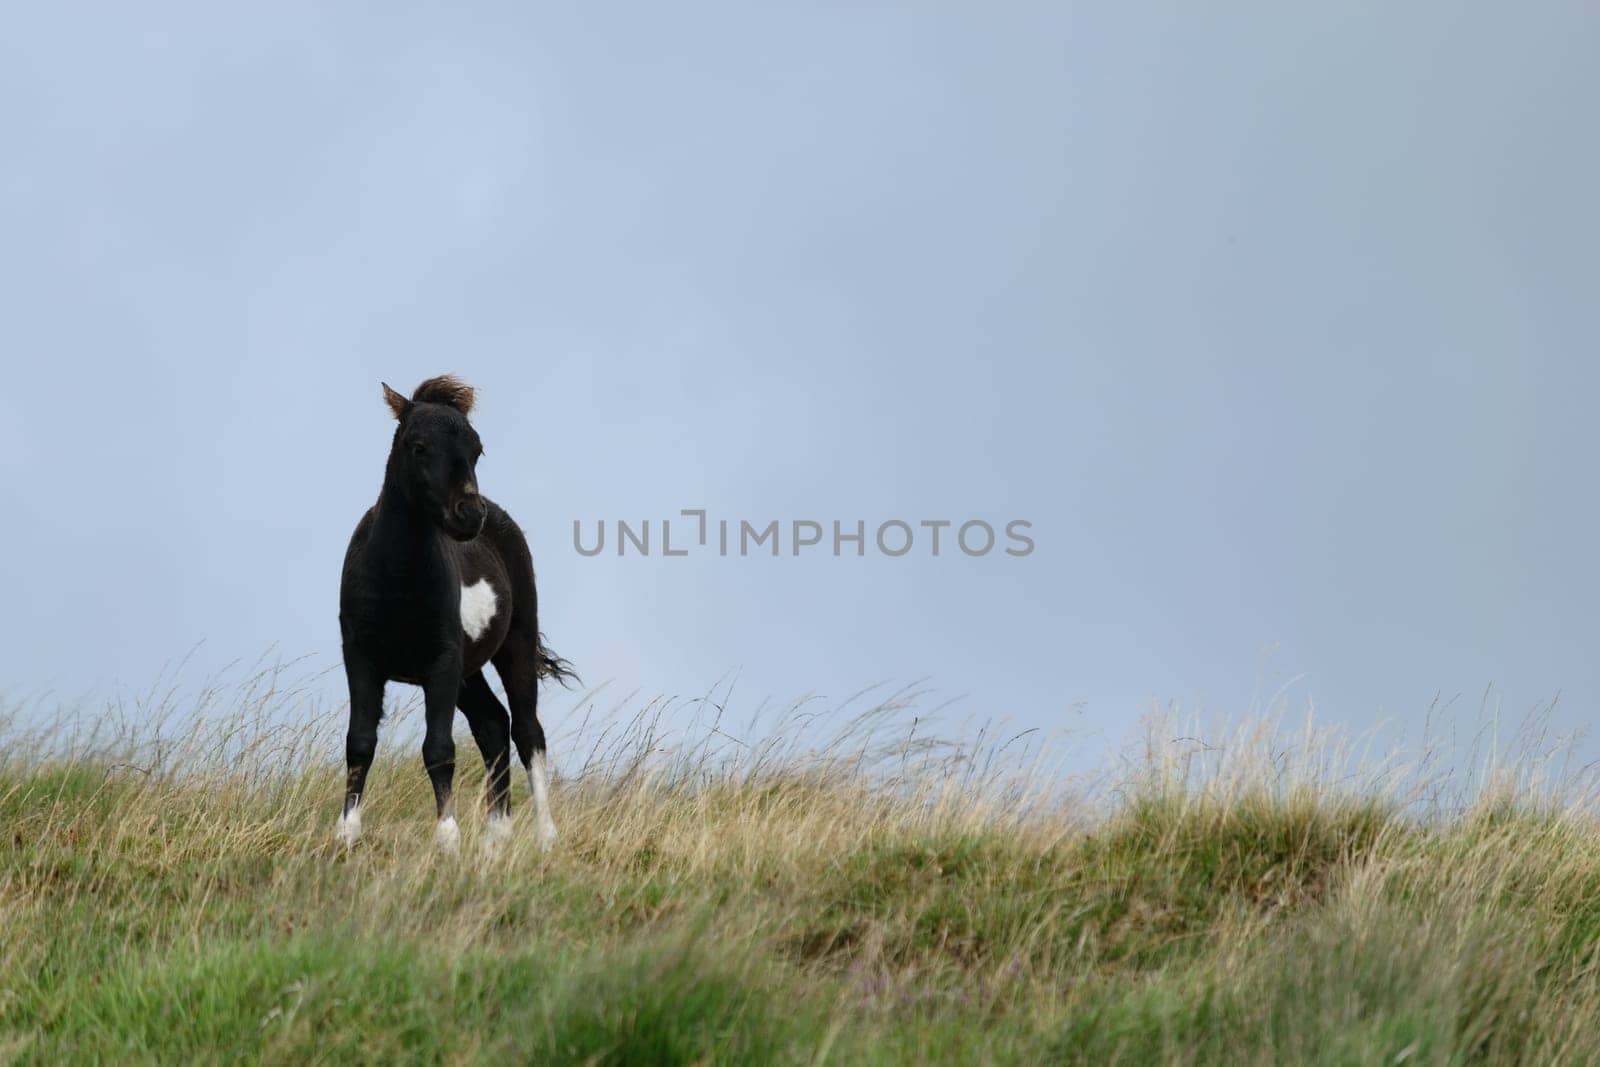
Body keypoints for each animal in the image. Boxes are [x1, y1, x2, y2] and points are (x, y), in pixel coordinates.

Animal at [334, 375, 572, 851]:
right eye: (418, 445)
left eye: (477, 448)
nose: (468, 516)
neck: (396, 578)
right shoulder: (361, 656)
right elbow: (360, 742)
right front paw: (346, 834)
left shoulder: (441, 661)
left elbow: (439, 749)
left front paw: (447, 838)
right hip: (468, 671)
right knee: (493, 724)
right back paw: (496, 838)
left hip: (516, 642)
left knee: (527, 732)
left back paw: (546, 837)